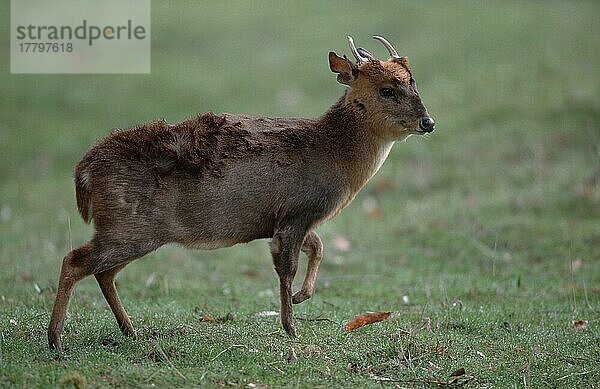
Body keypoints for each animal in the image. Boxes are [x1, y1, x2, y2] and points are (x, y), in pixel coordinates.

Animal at [47, 34, 432, 348]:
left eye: (414, 83)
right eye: (386, 89)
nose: (428, 122)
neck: (334, 153)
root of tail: (84, 170)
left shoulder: (286, 218)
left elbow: (319, 247)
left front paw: (302, 297)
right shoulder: (297, 210)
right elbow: (288, 266)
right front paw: (291, 327)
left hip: (129, 229)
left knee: (103, 271)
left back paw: (130, 331)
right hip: (129, 225)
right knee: (75, 260)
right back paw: (55, 339)